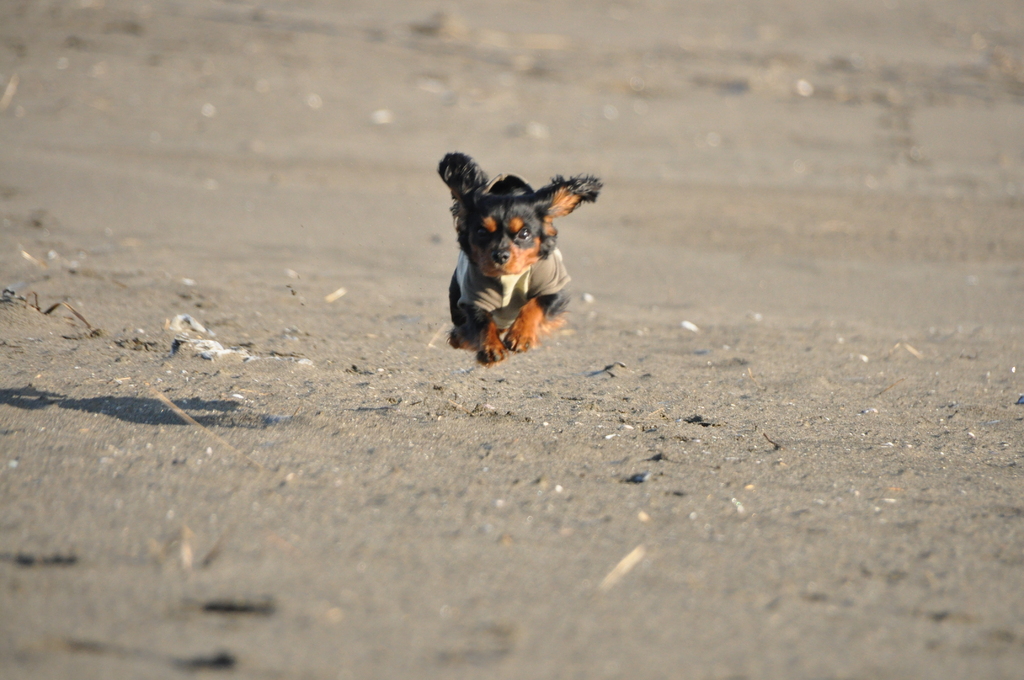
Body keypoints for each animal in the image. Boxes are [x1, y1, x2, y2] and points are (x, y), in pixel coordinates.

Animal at [438, 152, 598, 366]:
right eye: (481, 232)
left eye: (524, 233)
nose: (500, 255)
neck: (510, 276)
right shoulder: (474, 294)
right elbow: (482, 321)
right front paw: (491, 348)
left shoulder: (552, 285)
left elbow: (535, 305)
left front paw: (521, 336)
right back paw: (460, 337)